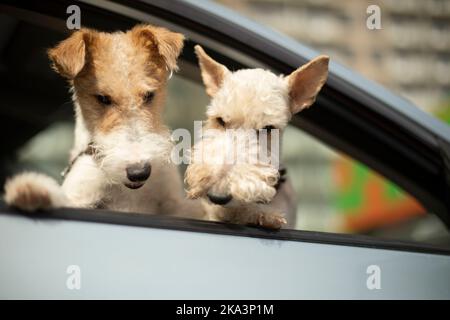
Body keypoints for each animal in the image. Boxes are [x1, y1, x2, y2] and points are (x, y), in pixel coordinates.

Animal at [3, 25, 202, 218]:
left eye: (148, 95)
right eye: (103, 98)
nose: (139, 172)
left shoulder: (172, 200)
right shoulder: (82, 195)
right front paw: (31, 190)